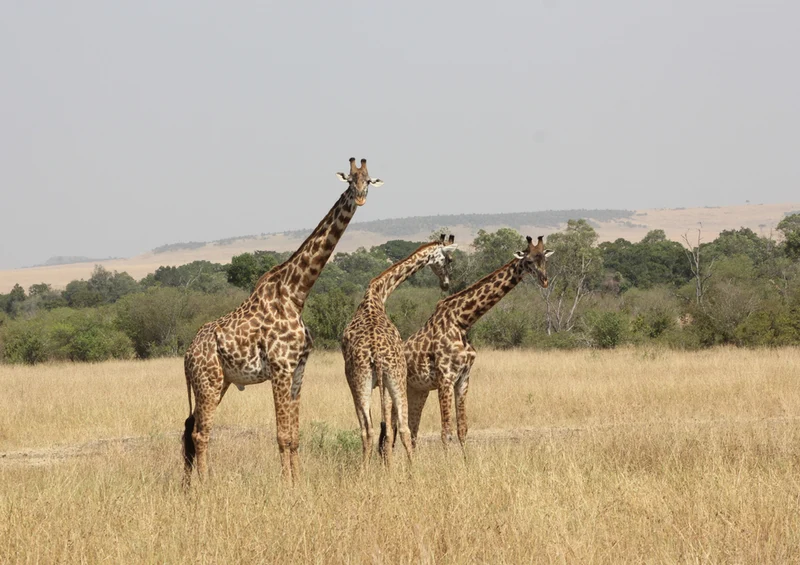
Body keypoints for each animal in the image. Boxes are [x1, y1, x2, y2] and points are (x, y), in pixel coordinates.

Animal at [182, 158, 383, 487]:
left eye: (368, 180)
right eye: (350, 181)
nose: (361, 198)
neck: (296, 292)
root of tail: (187, 354)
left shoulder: (298, 369)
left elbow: (294, 435)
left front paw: (298, 482)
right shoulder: (280, 367)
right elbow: (282, 435)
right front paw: (286, 484)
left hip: (219, 382)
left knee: (190, 428)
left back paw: (191, 484)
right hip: (207, 382)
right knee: (200, 433)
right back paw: (205, 484)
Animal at [341, 235, 457, 468]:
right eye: (449, 259)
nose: (446, 284)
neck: (378, 293)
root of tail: (376, 354)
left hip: (365, 380)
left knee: (369, 430)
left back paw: (368, 471)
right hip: (393, 379)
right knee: (402, 428)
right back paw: (410, 471)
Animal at [399, 235, 553, 449]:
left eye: (544, 259)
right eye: (529, 260)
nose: (544, 280)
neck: (462, 321)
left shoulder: (463, 378)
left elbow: (462, 430)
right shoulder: (445, 378)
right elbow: (446, 432)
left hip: (418, 390)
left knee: (411, 431)